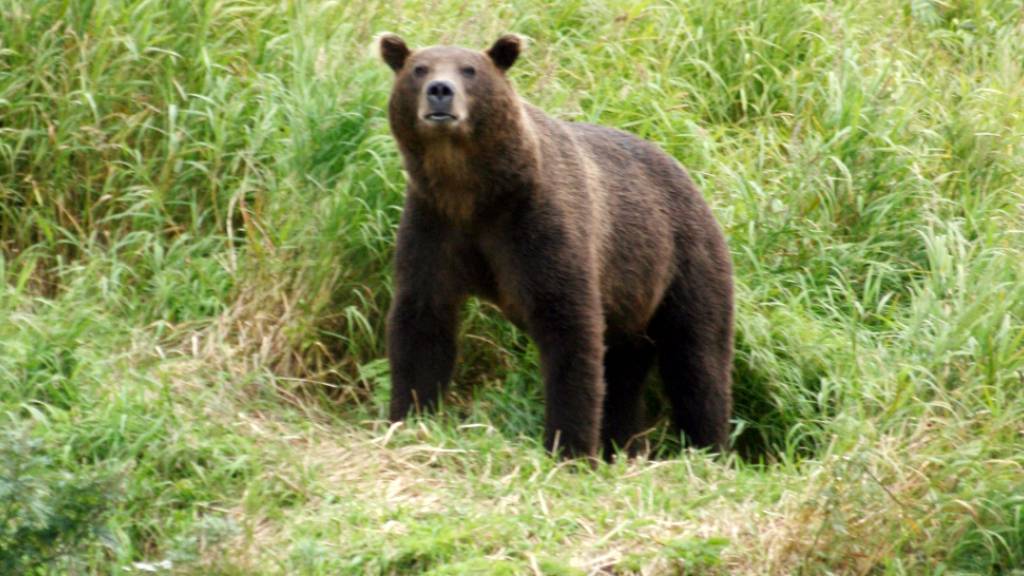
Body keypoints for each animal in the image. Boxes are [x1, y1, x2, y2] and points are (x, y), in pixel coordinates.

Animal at [377, 33, 734, 461]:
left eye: (470, 70)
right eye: (419, 69)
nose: (440, 91)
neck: (473, 192)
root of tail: (692, 180)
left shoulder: (539, 224)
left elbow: (569, 328)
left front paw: (570, 446)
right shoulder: (435, 225)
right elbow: (422, 321)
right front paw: (408, 418)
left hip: (683, 262)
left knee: (697, 360)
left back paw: (708, 447)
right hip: (633, 301)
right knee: (624, 372)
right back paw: (623, 445)